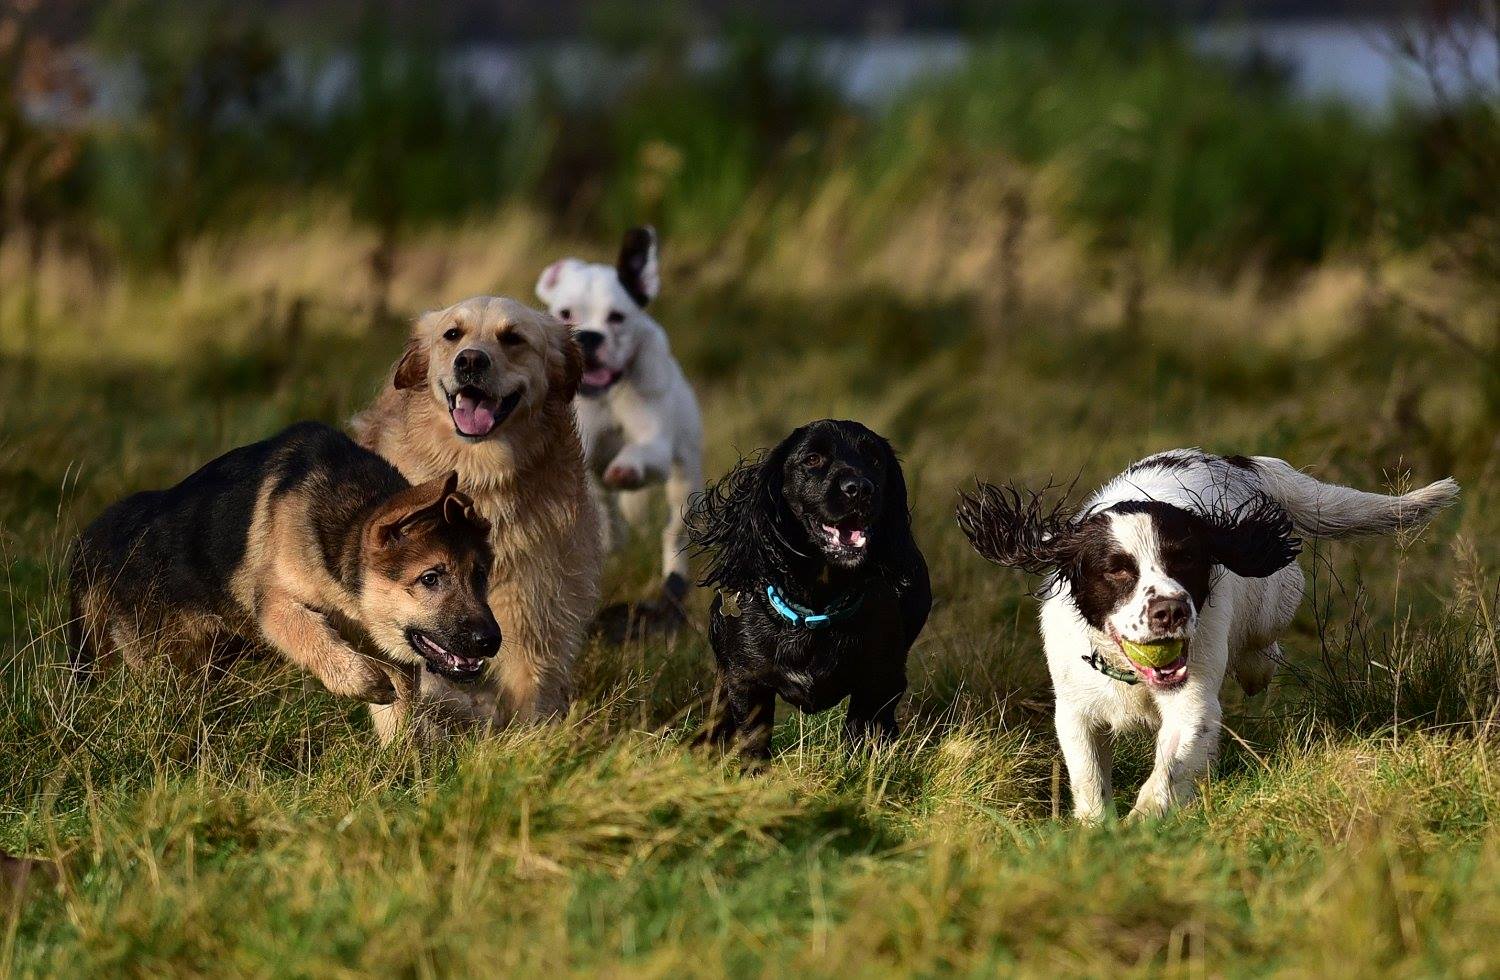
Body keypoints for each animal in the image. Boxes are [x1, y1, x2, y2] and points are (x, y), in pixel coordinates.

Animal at [537, 228, 705, 603]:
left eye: (617, 317)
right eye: (565, 313)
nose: (588, 336)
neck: (607, 395)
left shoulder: (655, 442)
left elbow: (638, 452)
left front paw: (627, 468)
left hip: (685, 478)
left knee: (673, 530)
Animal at [960, 450, 1464, 816]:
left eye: (1184, 559)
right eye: (1117, 570)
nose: (1170, 610)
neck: (1132, 672)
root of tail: (1240, 461)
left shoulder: (1192, 701)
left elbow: (1168, 769)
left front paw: (1144, 823)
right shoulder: (1076, 708)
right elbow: (1087, 777)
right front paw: (1097, 831)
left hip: (1276, 600)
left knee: (1263, 647)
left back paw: (1256, 669)